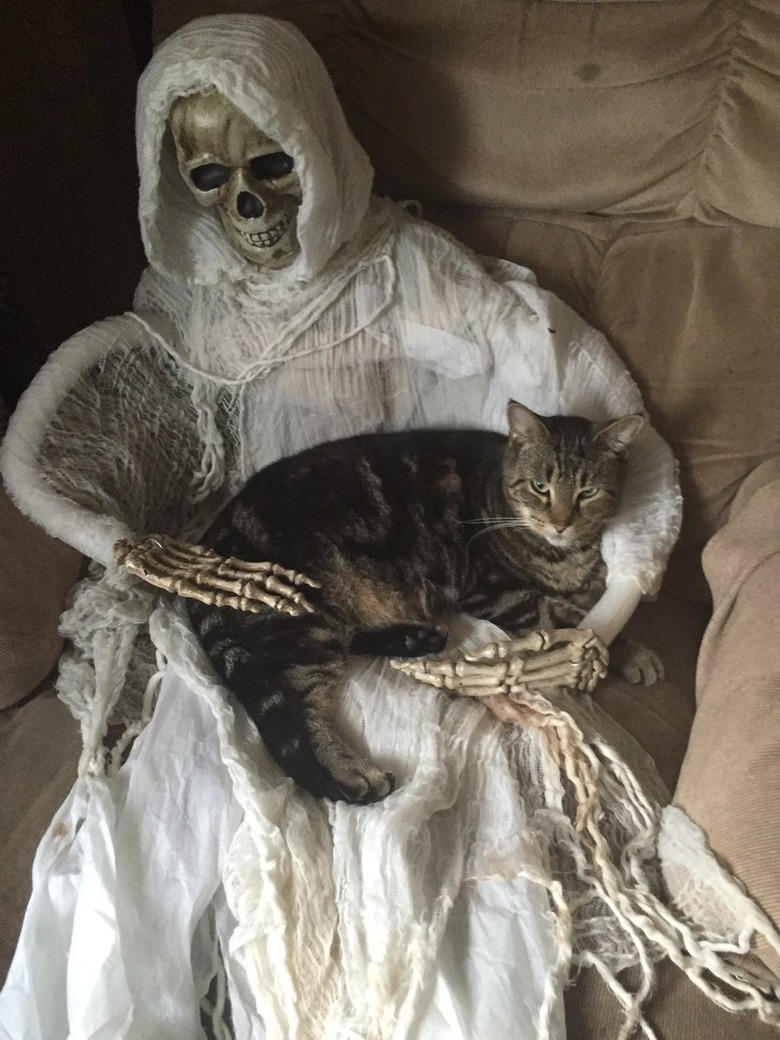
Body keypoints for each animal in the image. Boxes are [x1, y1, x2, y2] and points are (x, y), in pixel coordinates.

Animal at [189, 401, 661, 798]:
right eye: (540, 486)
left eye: (587, 493)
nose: (561, 522)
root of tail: (208, 543)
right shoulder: (499, 593)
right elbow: (575, 624)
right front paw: (615, 652)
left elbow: (596, 610)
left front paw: (634, 647)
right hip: (301, 618)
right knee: (293, 716)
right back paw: (353, 774)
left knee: (350, 642)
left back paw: (416, 640)